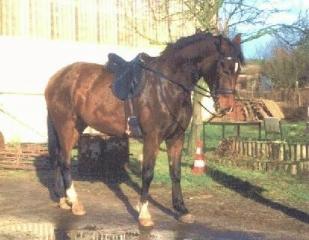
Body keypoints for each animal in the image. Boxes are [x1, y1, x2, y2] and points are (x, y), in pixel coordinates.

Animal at [45, 32, 243, 227]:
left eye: (237, 69)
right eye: (222, 65)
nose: (227, 107)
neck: (167, 85)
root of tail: (56, 78)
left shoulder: (176, 137)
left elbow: (175, 173)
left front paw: (182, 210)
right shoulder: (152, 138)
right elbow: (147, 173)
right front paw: (144, 214)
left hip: (75, 127)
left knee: (59, 160)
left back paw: (63, 200)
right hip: (66, 127)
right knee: (65, 162)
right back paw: (75, 202)